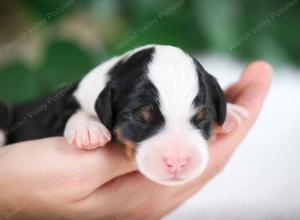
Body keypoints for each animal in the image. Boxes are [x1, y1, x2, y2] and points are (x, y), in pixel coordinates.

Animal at [0, 44, 248, 186]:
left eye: (202, 117)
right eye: (140, 118)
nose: (177, 162)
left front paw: (232, 113)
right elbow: (71, 112)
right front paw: (89, 129)